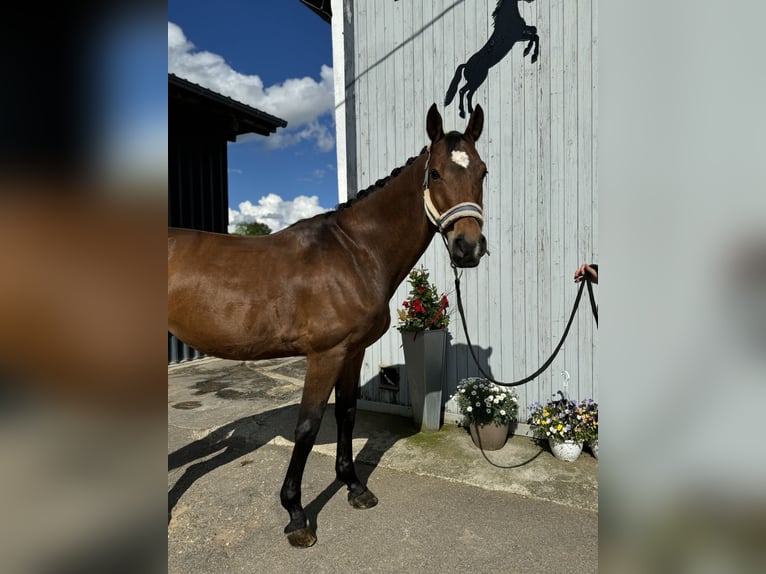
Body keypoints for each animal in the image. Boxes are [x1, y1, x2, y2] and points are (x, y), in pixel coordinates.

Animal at [170, 103, 488, 548]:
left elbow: (347, 415)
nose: (468, 248)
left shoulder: (353, 352)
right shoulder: (325, 355)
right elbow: (308, 426)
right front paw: (296, 516)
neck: (354, 253)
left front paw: (354, 487)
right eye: (438, 173)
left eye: (483, 172)